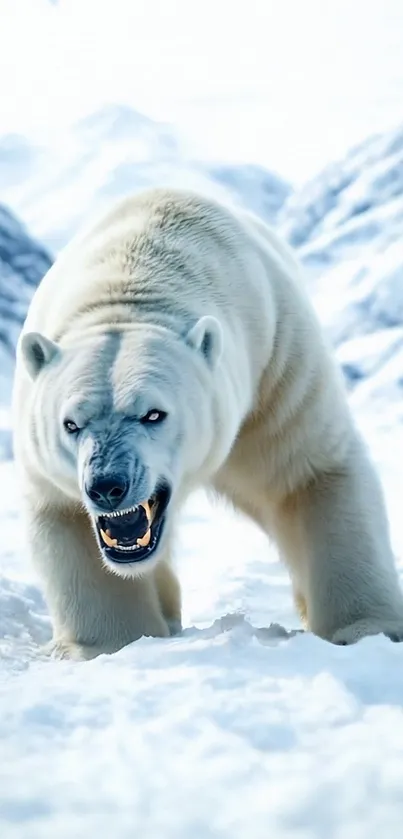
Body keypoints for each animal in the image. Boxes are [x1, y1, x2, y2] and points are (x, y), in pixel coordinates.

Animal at [11, 187, 403, 660]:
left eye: (153, 413)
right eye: (71, 423)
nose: (107, 485)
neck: (133, 279)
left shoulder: (275, 374)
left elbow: (307, 474)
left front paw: (367, 630)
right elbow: (69, 516)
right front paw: (113, 644)